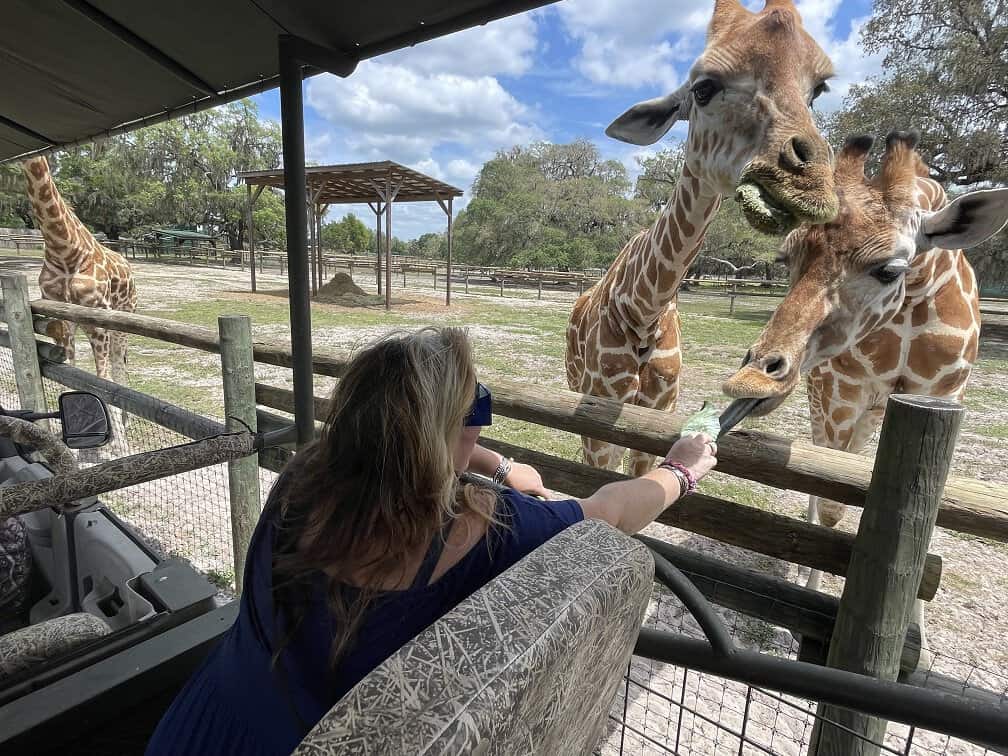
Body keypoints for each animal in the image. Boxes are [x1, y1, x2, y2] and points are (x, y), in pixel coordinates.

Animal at [22, 156, 137, 448]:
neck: (64, 249)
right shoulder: (62, 317)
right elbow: (70, 374)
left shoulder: (99, 318)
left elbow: (103, 380)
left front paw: (119, 443)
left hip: (122, 321)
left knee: (119, 368)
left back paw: (125, 425)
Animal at [566, 0, 839, 476]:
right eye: (703, 89)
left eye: (817, 90)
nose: (812, 181)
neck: (644, 310)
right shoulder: (599, 409)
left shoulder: (658, 408)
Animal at [720, 131, 1008, 658]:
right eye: (786, 258)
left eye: (890, 269)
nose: (751, 379)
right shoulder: (842, 391)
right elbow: (831, 503)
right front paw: (803, 612)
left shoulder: (943, 396)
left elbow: (928, 517)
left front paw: (920, 644)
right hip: (826, 400)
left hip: (872, 412)